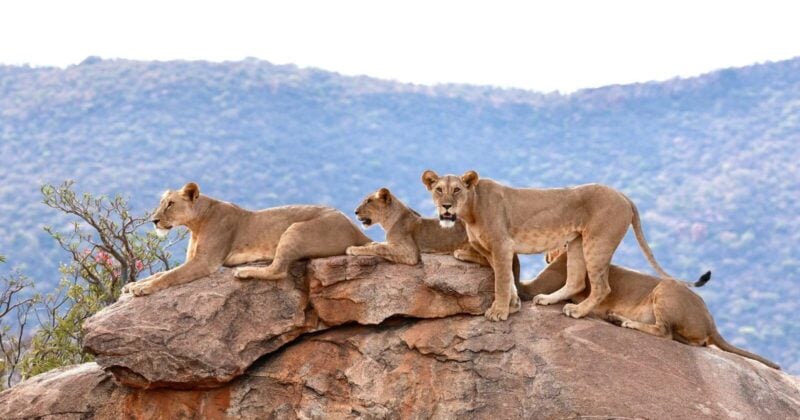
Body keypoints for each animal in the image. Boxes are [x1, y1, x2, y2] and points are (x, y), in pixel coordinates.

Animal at [122, 182, 371, 296]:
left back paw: (244, 272)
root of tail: (355, 228)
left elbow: (169, 276)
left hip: (295, 229)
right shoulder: (193, 260)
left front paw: (143, 289)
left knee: (278, 271)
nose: (154, 220)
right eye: (161, 203)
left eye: (170, 204)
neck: (196, 224)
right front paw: (134, 285)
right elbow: (161, 273)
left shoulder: (206, 262)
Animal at [344, 188, 520, 279]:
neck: (388, 221)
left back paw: (460, 253)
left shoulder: (410, 252)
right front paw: (368, 242)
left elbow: (379, 248)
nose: (355, 211)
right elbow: (378, 243)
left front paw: (354, 249)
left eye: (368, 201)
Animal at [422, 169, 693, 322]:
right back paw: (547, 300)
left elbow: (501, 281)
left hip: (598, 241)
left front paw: (498, 312)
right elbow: (507, 279)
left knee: (602, 287)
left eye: (457, 190)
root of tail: (624, 195)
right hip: (577, 242)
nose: (446, 206)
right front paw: (514, 305)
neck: (471, 210)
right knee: (577, 281)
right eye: (438, 190)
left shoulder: (502, 246)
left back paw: (578, 311)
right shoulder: (494, 251)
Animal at [520, 242, 779, 369]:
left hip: (666, 289)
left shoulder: (538, 285)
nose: (546, 255)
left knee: (664, 332)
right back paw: (615, 317)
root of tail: (711, 320)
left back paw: (624, 321)